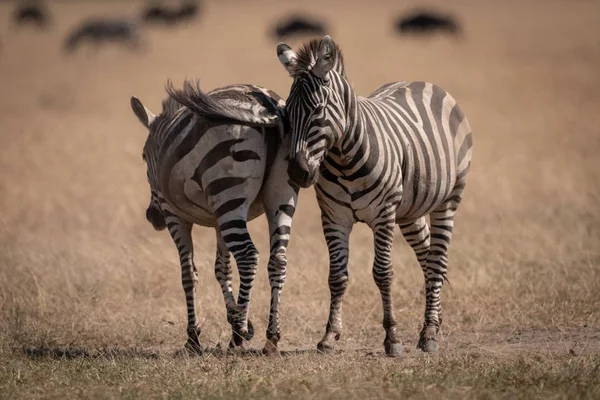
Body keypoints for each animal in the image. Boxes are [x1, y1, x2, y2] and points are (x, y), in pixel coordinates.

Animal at [132, 80, 300, 354]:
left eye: (144, 158)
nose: (151, 217)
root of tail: (269, 104)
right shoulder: (219, 220)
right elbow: (222, 270)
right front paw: (239, 320)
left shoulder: (174, 215)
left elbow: (189, 274)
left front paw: (194, 338)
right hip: (279, 195)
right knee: (278, 259)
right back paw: (271, 337)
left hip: (227, 189)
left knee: (248, 256)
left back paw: (239, 335)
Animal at [276, 36, 474, 358]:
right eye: (286, 114)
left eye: (317, 110)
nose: (297, 173)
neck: (343, 157)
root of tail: (422, 82)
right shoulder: (334, 217)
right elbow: (337, 276)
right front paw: (329, 336)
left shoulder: (383, 215)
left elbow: (383, 273)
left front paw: (392, 338)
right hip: (409, 211)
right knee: (427, 255)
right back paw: (435, 319)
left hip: (448, 200)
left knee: (438, 260)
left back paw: (429, 333)